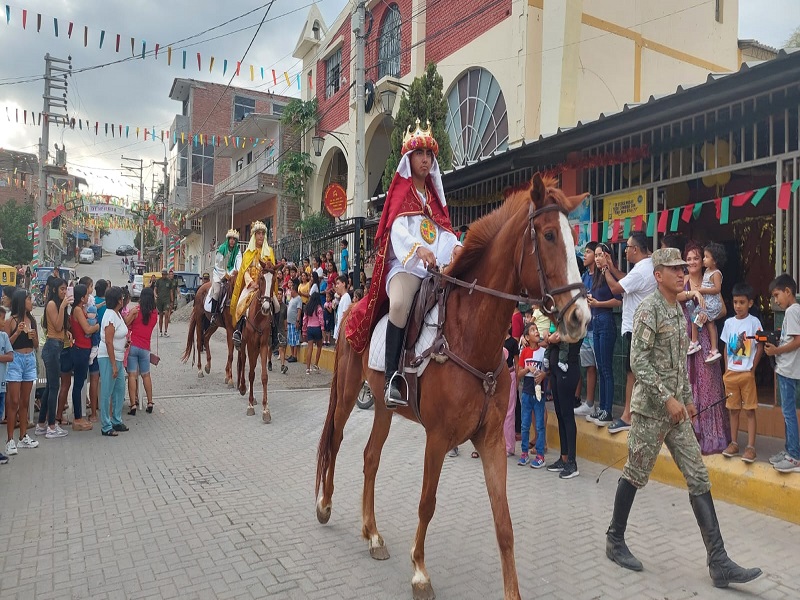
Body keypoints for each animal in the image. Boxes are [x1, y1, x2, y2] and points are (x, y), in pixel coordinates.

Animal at [236, 268, 276, 422]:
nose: (266, 307)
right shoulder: (251, 344)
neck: (258, 317)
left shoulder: (263, 345)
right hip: (244, 344)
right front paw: (250, 406)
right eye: (261, 278)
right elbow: (251, 373)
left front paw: (266, 410)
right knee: (242, 361)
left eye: (274, 280)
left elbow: (264, 376)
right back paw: (242, 388)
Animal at [316, 173, 592, 600]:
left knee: (370, 457)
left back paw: (373, 534)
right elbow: (427, 503)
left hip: (382, 406)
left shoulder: (491, 440)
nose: (581, 316)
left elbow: (504, 524)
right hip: (347, 392)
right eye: (548, 235)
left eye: (573, 235)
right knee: (335, 439)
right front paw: (419, 572)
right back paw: (325, 505)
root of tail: (352, 308)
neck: (471, 337)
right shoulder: (438, 437)